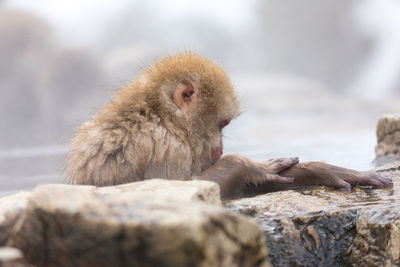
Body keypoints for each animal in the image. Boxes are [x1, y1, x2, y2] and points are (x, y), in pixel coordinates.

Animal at [65, 53, 390, 199]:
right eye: (222, 124)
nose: (220, 149)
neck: (163, 117)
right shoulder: (165, 146)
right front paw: (243, 165)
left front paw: (316, 170)